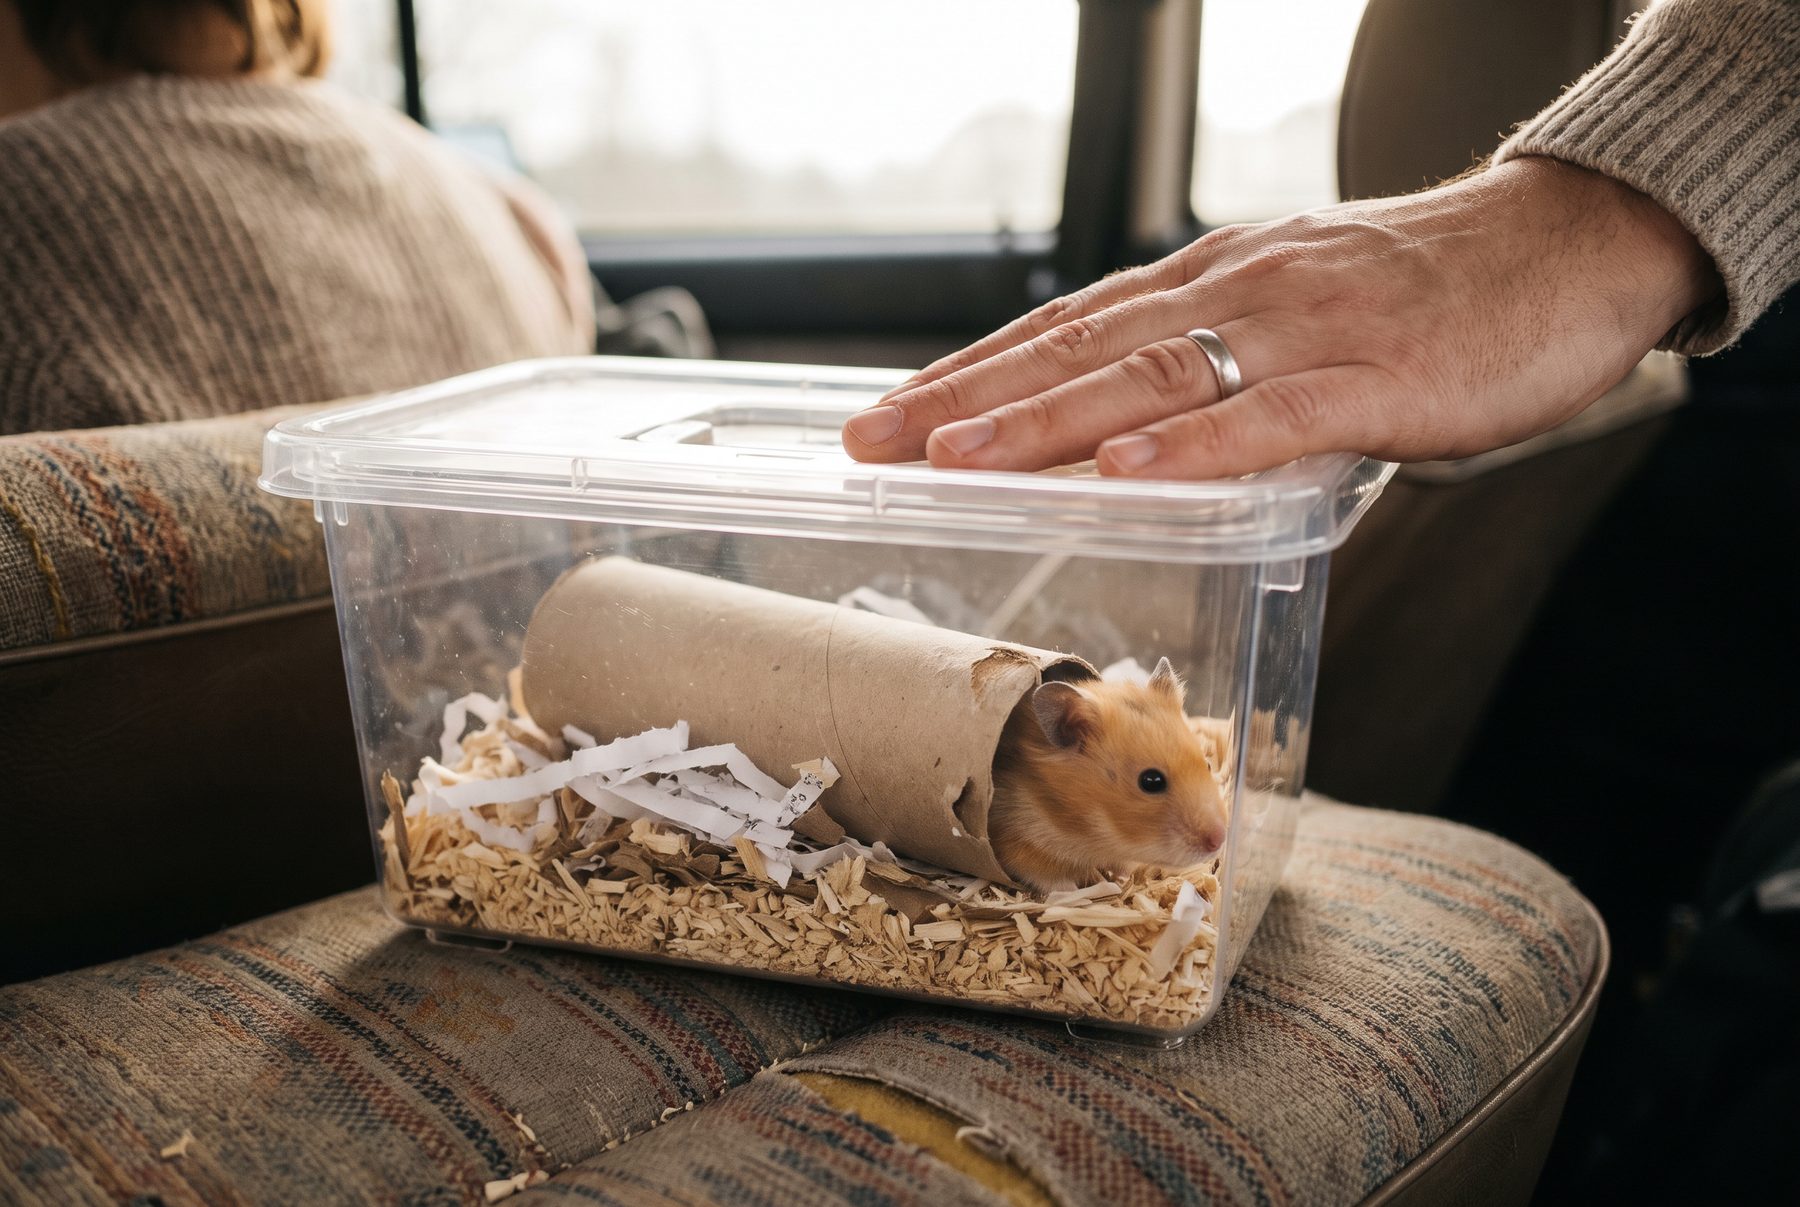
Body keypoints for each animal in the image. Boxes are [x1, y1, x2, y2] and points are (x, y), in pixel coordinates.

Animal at [988, 657, 1228, 894]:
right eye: (1151, 781)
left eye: (1208, 765)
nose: (1219, 840)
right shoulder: (1019, 839)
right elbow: (1051, 880)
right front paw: (1084, 892)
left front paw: (1120, 880)